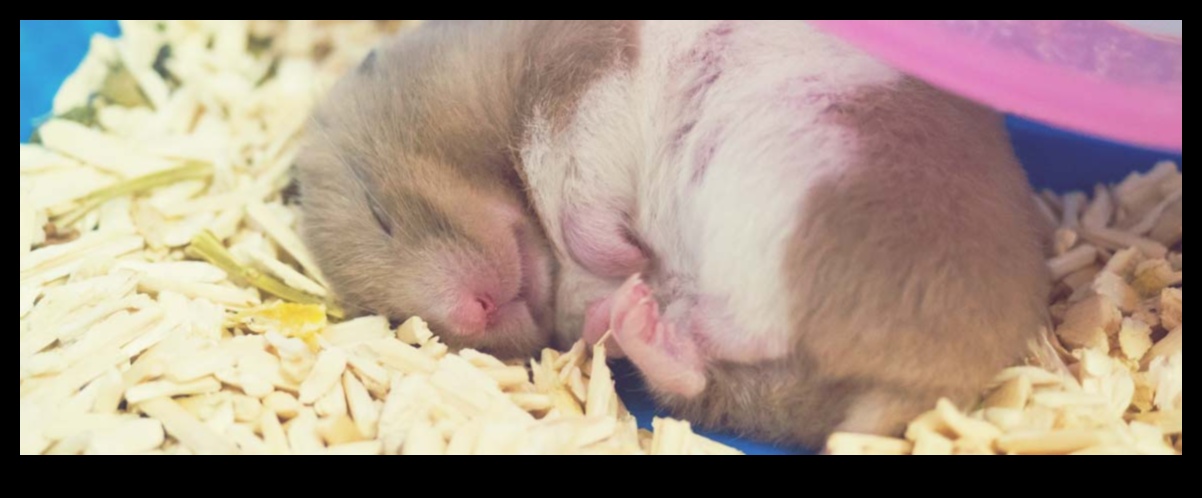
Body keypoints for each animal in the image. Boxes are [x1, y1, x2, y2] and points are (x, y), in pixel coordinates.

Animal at [298, 20, 1050, 447]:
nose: (475, 311)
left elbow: (574, 182)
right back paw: (632, 316)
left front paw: (621, 252)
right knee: (707, 369)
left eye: (378, 208)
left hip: (793, 183)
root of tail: (939, 386)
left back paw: (633, 297)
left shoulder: (579, 80)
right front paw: (613, 287)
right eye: (397, 318)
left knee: (759, 323)